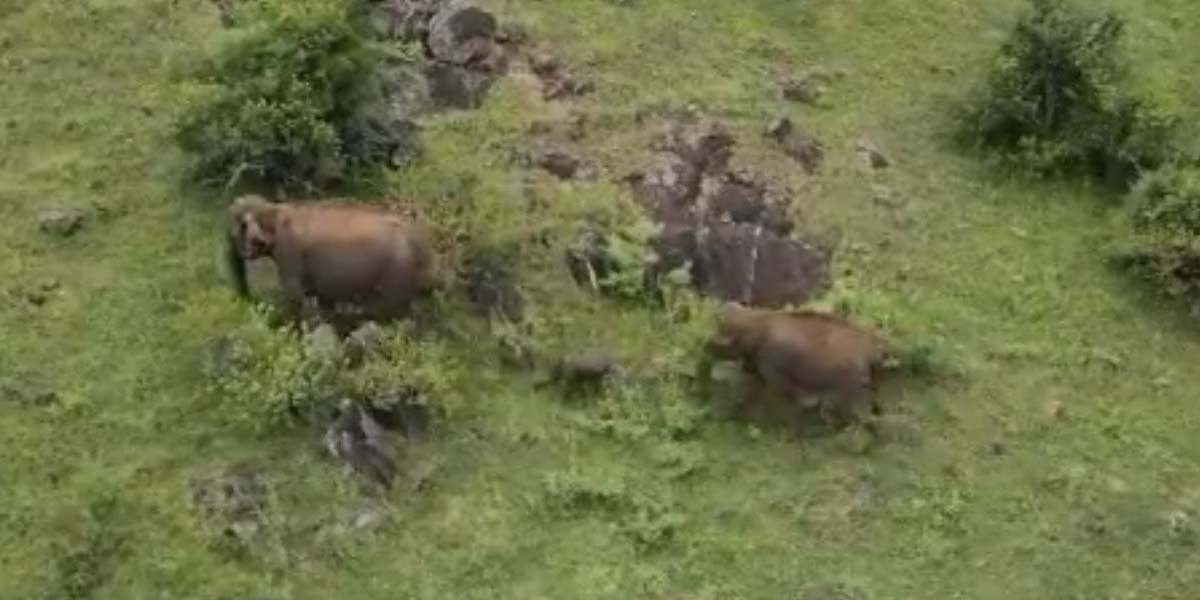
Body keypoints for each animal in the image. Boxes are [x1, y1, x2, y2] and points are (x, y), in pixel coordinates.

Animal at [226, 195, 441, 325]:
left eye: (242, 226)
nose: (244, 299)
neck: (277, 208)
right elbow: (319, 297)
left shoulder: (289, 251)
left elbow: (293, 290)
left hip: (397, 267)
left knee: (392, 305)